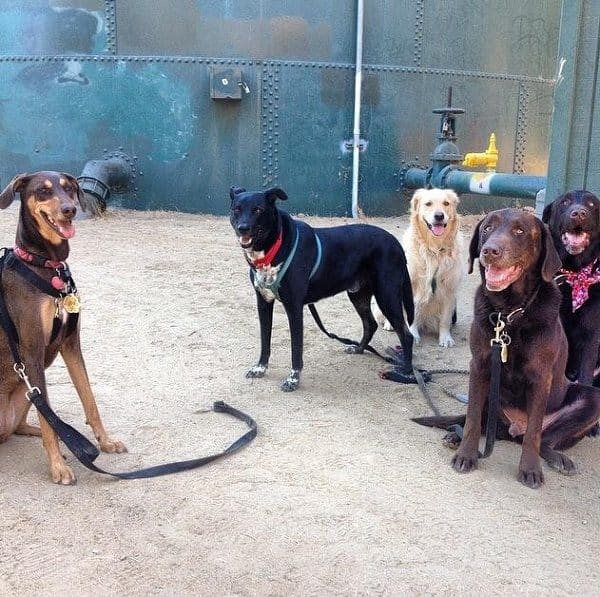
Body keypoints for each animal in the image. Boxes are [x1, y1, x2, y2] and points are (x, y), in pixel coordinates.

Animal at [0, 171, 125, 484]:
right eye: (43, 191)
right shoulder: (32, 351)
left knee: (26, 424)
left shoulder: (71, 344)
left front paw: (105, 442)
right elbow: (49, 421)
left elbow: (89, 399)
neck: (47, 265)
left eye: (69, 188)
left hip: (26, 392)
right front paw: (57, 467)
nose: (69, 209)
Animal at [231, 186, 418, 392]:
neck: (274, 247)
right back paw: (359, 349)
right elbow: (265, 341)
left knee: (406, 335)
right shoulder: (263, 302)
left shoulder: (294, 308)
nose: (243, 228)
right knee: (370, 324)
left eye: (258, 210)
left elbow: (296, 349)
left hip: (387, 295)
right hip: (358, 295)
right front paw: (260, 368)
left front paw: (293, 379)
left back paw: (406, 372)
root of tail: (395, 243)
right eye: (237, 209)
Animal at [372, 186, 466, 346]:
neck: (434, 250)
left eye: (446, 203)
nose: (439, 216)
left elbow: (445, 319)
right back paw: (390, 324)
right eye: (428, 204)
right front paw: (413, 335)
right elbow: (412, 315)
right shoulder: (411, 286)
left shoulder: (449, 289)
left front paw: (445, 338)